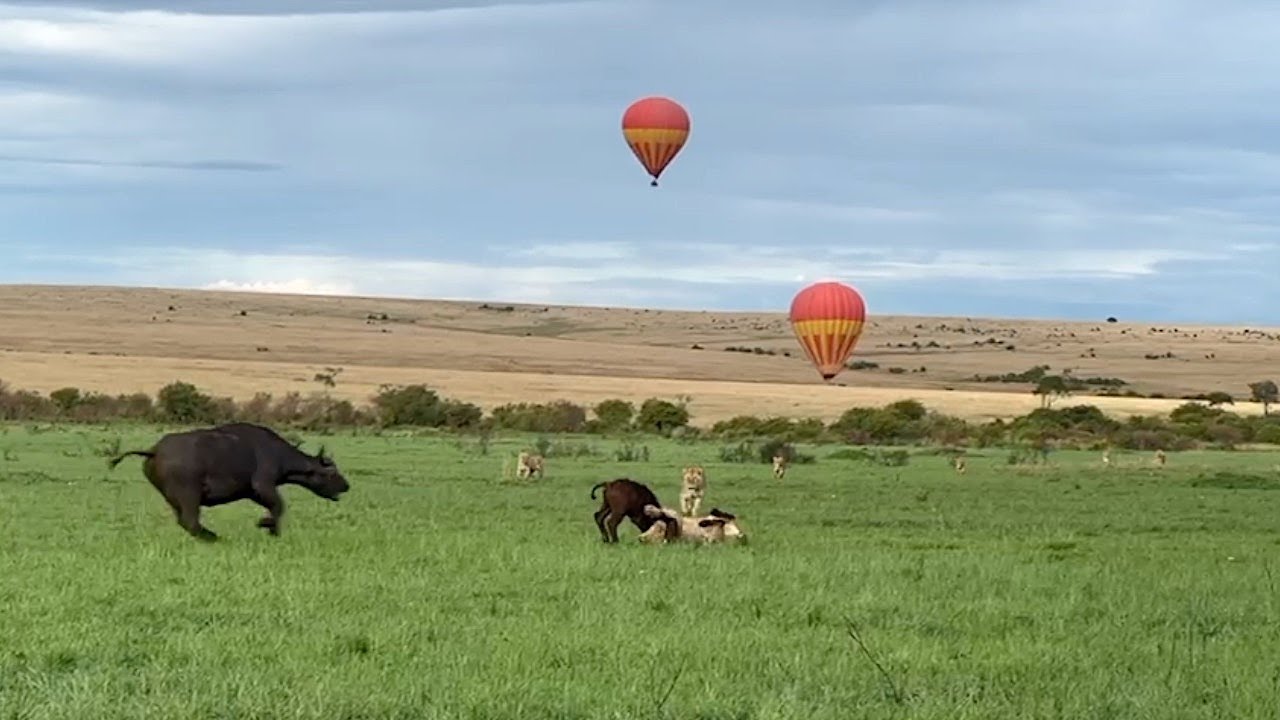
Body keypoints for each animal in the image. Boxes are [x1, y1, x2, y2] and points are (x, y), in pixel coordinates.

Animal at [107, 422, 349, 541]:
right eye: (331, 473)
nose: (347, 486)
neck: (277, 452)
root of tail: (154, 451)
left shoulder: (254, 492)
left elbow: (275, 508)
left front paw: (272, 528)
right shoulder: (264, 486)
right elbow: (279, 506)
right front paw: (267, 525)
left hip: (173, 498)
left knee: (185, 522)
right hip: (189, 494)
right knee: (190, 521)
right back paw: (215, 538)